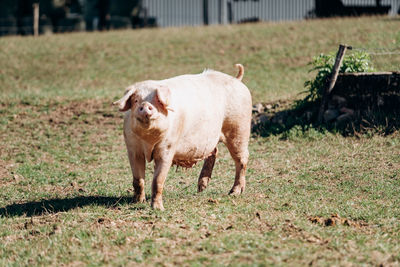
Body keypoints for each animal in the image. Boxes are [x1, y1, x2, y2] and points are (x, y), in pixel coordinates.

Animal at [113, 63, 250, 210]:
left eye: (158, 101)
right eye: (136, 100)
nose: (145, 105)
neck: (148, 140)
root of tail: (237, 80)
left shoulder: (167, 148)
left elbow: (158, 180)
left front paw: (158, 208)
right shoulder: (132, 148)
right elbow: (138, 180)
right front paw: (137, 202)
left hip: (239, 129)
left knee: (242, 159)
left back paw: (234, 193)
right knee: (214, 151)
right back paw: (201, 188)